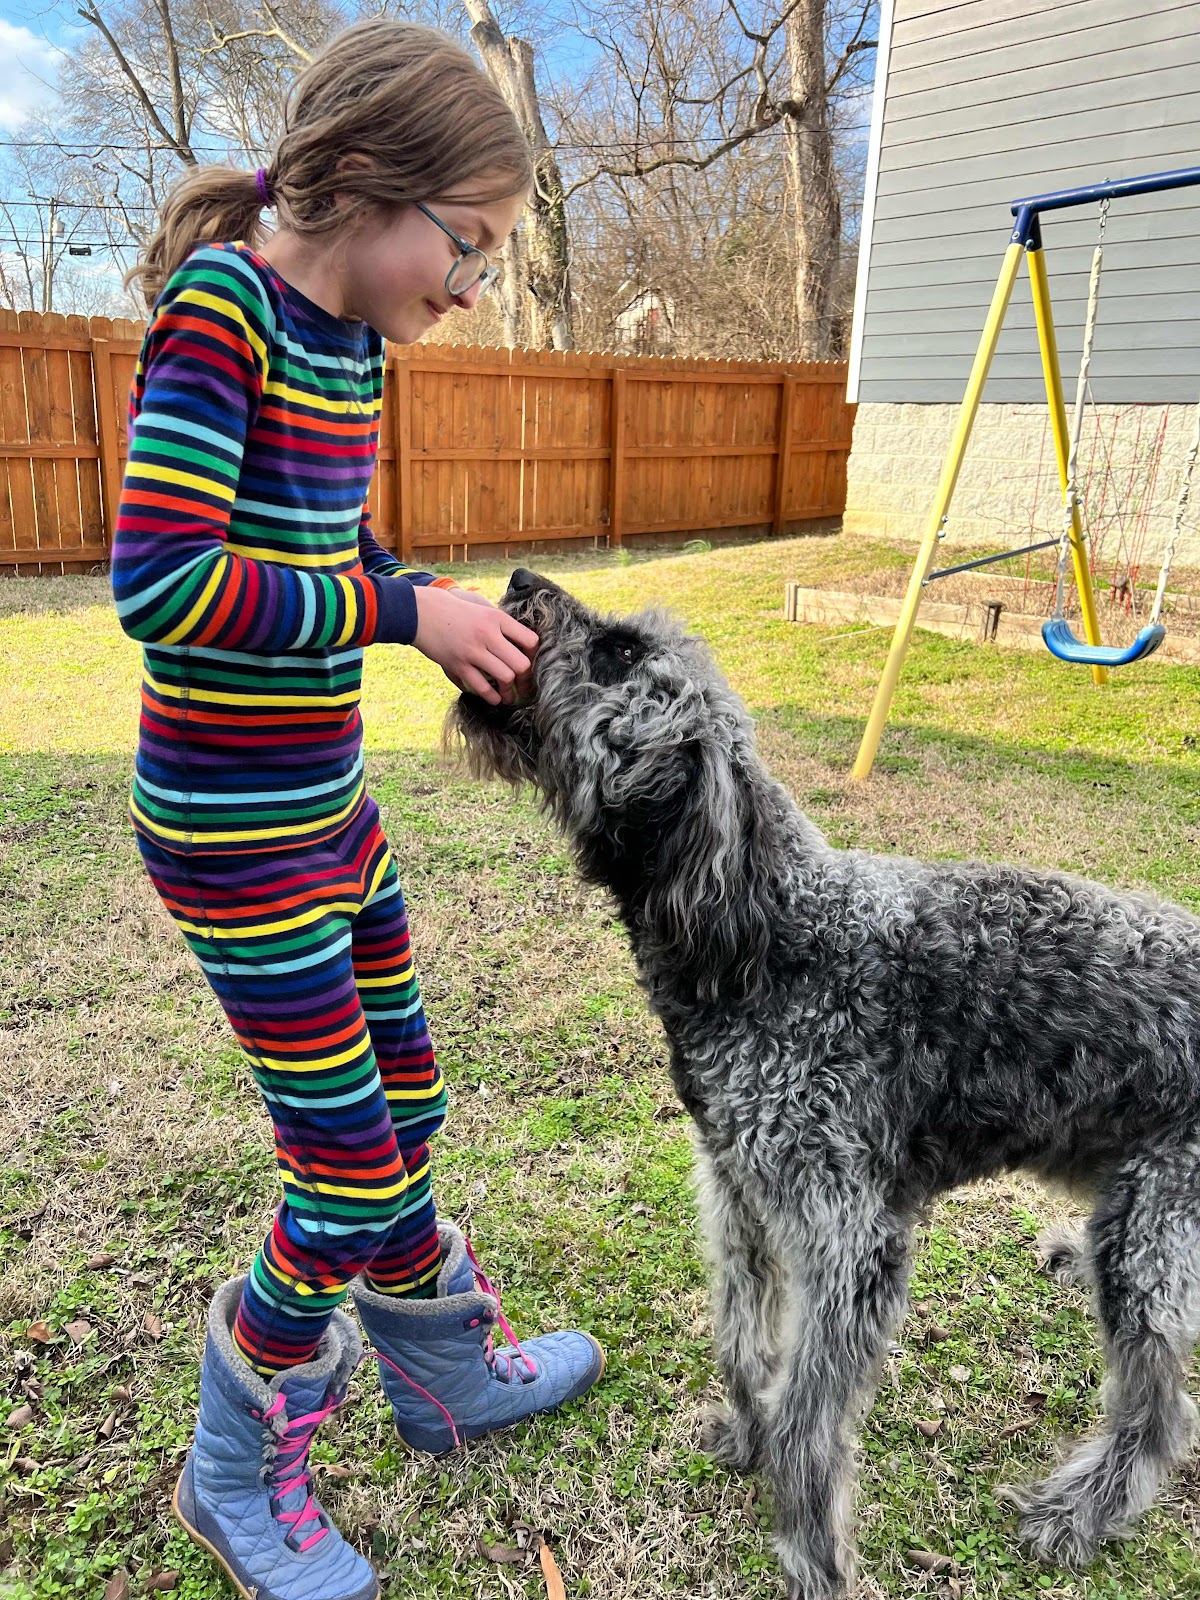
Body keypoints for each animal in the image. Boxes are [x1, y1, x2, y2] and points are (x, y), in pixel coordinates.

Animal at [448, 568, 1200, 1599]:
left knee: (1160, 1415)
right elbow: (743, 1342)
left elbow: (811, 1418)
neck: (766, 936)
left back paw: (1078, 1513)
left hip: (1151, 1240)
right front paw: (748, 1435)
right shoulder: (738, 1196)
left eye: (620, 653)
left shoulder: (850, 1239)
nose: (520, 581)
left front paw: (811, 1551)